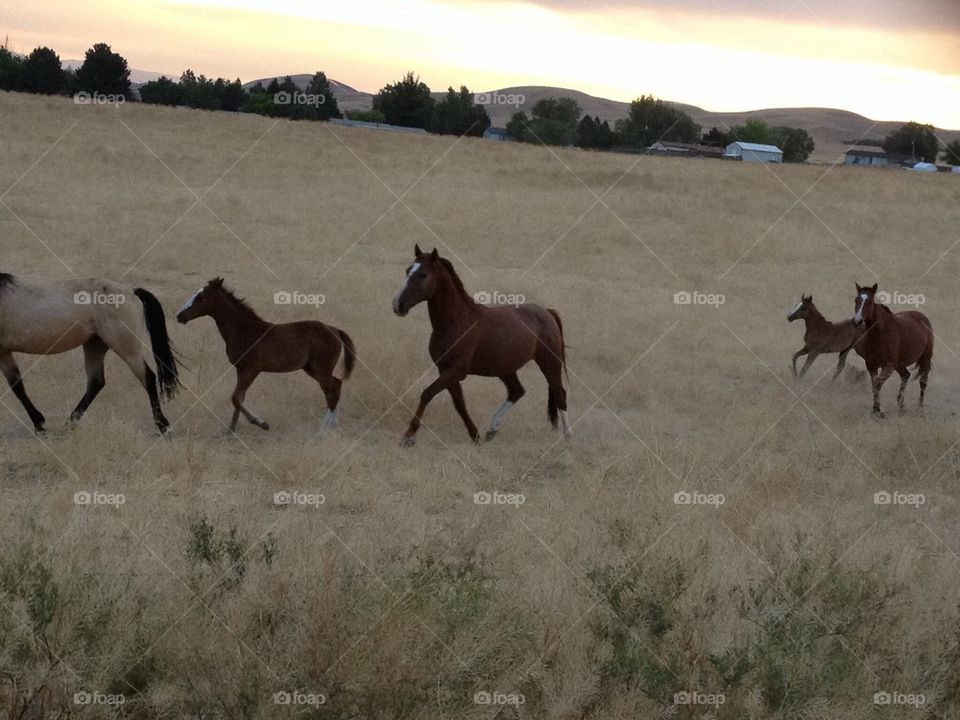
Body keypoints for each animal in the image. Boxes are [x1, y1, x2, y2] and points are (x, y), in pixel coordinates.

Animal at [0, 272, 180, 434]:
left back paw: (162, 425)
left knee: (147, 378)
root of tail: (131, 290)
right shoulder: (4, 354)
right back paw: (69, 424)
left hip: (127, 349)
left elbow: (17, 388)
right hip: (95, 345)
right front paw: (39, 423)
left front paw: (39, 424)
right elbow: (17, 387)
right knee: (96, 382)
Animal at [392, 246, 568, 444]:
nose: (398, 305)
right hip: (505, 369)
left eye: (423, 274)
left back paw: (568, 437)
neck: (457, 321)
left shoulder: (456, 370)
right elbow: (459, 404)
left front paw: (409, 435)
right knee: (517, 391)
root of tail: (546, 312)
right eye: (408, 271)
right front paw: (474, 435)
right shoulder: (445, 370)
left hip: (550, 363)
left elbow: (427, 393)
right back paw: (492, 430)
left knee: (560, 394)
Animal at [852, 282, 932, 416]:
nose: (857, 321)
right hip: (899, 364)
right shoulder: (871, 365)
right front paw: (876, 409)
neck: (880, 333)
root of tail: (922, 318)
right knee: (906, 375)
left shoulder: (888, 366)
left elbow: (877, 384)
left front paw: (879, 411)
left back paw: (919, 407)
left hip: (925, 358)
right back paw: (901, 404)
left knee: (923, 381)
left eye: (869, 302)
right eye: (856, 300)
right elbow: (874, 385)